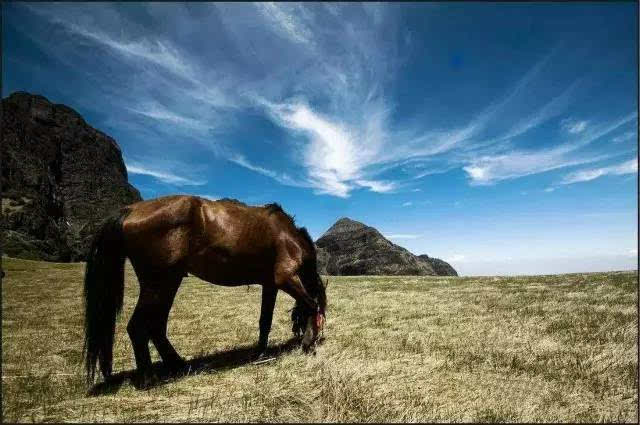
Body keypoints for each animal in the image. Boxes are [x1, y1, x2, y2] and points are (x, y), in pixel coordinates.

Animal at [82, 195, 328, 388]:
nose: (317, 338)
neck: (287, 235)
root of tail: (130, 210)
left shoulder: (269, 284)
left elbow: (264, 321)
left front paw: (259, 352)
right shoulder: (284, 278)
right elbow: (310, 304)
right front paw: (308, 343)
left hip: (168, 283)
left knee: (156, 326)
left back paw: (178, 364)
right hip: (158, 284)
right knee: (138, 327)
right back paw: (149, 377)